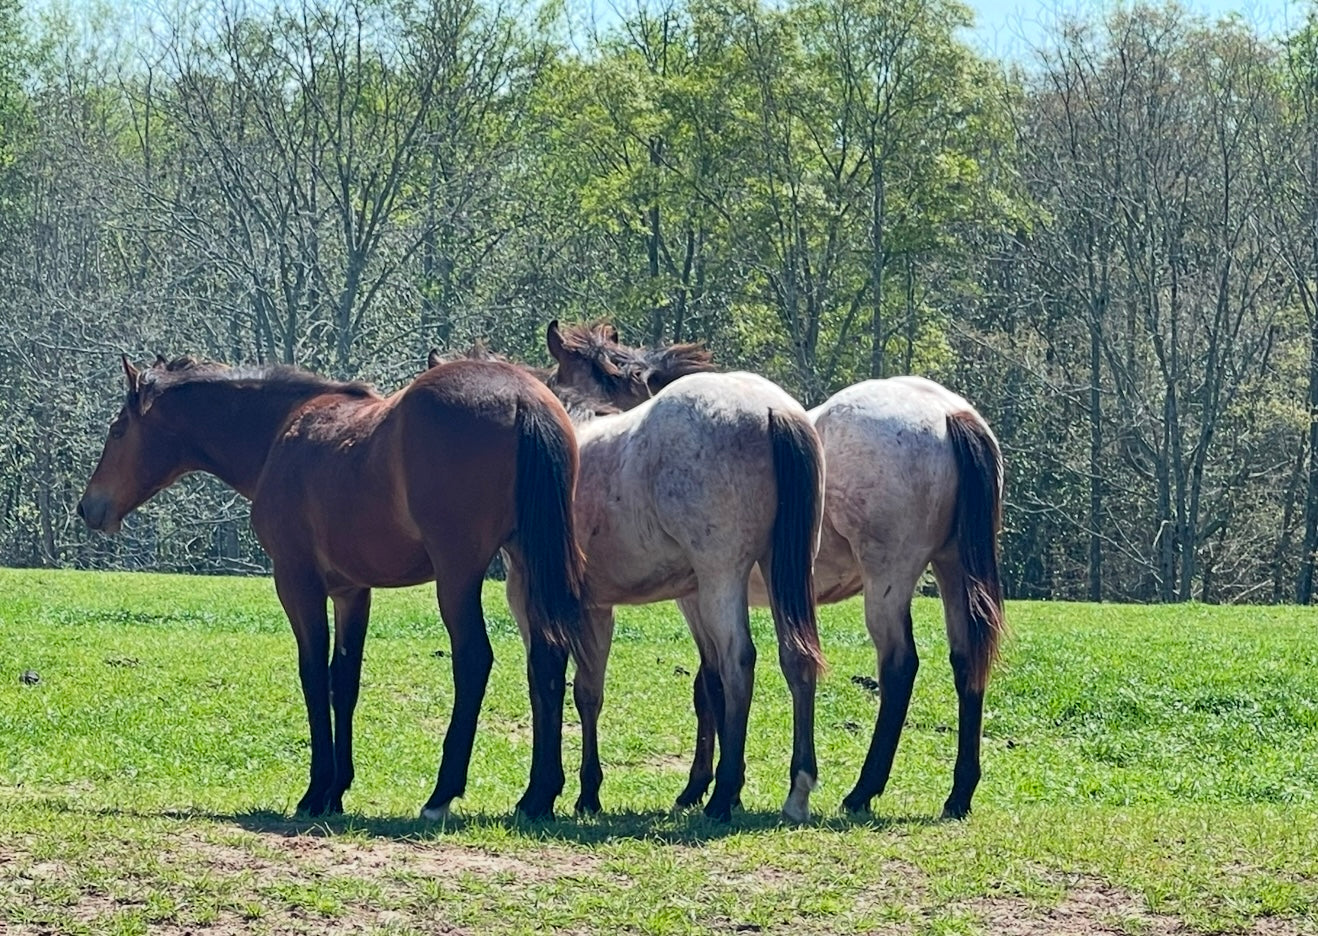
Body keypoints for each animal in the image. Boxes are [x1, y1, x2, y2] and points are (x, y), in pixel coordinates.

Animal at [77, 353, 587, 820]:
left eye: (118, 430)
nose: (88, 507)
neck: (279, 434)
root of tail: (522, 397)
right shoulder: (351, 592)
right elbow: (344, 681)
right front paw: (338, 790)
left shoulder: (297, 581)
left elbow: (313, 674)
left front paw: (316, 791)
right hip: (528, 564)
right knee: (547, 657)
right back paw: (537, 797)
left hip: (458, 574)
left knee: (474, 659)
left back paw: (442, 794)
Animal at [428, 323, 827, 822]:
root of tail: (773, 408)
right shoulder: (597, 607)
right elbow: (588, 691)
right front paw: (587, 793)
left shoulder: (532, 598)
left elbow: (546, 679)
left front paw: (540, 794)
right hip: (781, 572)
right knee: (796, 657)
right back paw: (795, 790)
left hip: (722, 577)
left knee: (739, 663)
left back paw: (723, 795)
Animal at [558, 327, 1006, 820]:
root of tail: (949, 413)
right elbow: (714, 683)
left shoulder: (698, 596)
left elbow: (711, 684)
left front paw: (704, 787)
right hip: (952, 568)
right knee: (966, 660)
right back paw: (958, 793)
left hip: (888, 579)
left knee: (899, 664)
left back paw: (862, 790)